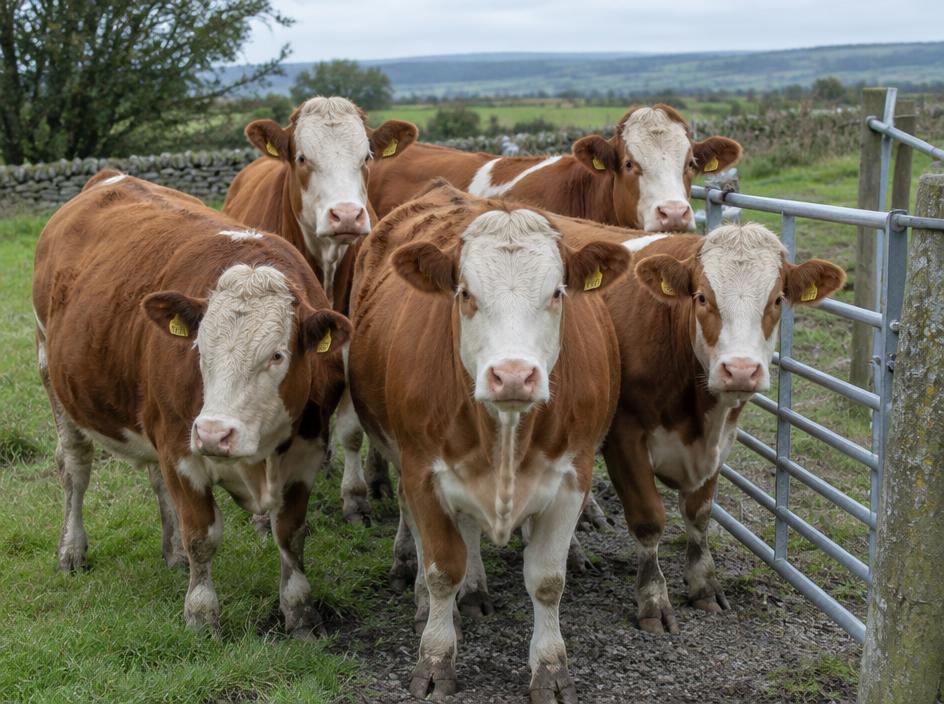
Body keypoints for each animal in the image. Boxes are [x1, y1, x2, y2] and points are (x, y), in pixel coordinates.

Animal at [32, 171, 351, 636]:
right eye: (200, 348)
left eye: (277, 355)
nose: (215, 434)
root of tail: (110, 177)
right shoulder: (181, 450)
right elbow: (202, 536)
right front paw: (201, 615)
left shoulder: (306, 452)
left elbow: (291, 534)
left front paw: (299, 613)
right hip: (53, 375)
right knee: (75, 468)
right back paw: (72, 550)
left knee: (156, 481)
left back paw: (173, 552)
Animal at [347, 183, 631, 702]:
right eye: (465, 293)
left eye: (557, 292)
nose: (513, 375)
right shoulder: (423, 472)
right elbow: (442, 569)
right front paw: (435, 658)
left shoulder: (572, 477)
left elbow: (547, 579)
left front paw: (550, 668)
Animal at [565, 222, 845, 634]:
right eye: (701, 297)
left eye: (778, 299)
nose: (741, 371)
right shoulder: (624, 437)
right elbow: (648, 520)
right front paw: (653, 600)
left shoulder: (720, 440)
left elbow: (699, 514)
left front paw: (703, 585)